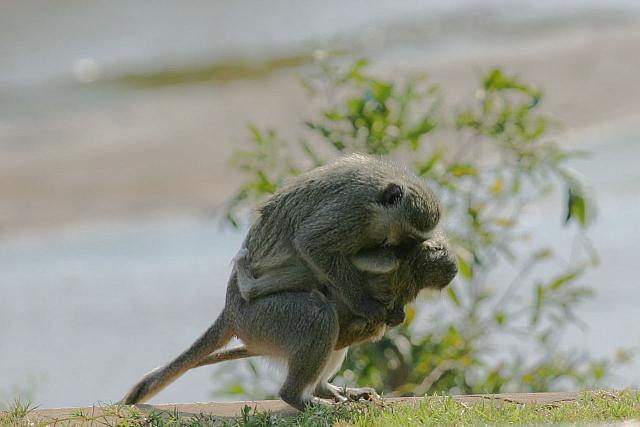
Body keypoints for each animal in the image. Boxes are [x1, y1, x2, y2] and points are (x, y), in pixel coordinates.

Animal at [121, 154, 457, 410]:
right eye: (407, 240)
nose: (402, 253)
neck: (379, 194)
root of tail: (231, 311)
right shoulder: (351, 213)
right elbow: (312, 244)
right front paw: (369, 306)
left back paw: (319, 390)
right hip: (260, 319)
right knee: (319, 313)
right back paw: (297, 394)